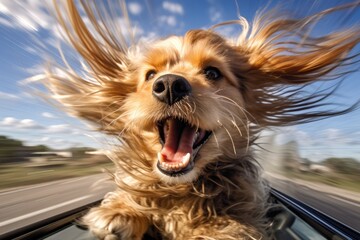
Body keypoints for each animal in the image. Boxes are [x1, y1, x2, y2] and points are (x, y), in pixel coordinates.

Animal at [38, 0, 358, 239]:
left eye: (213, 72)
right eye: (150, 75)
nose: (169, 85)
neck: (183, 189)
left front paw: (218, 229)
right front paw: (123, 210)